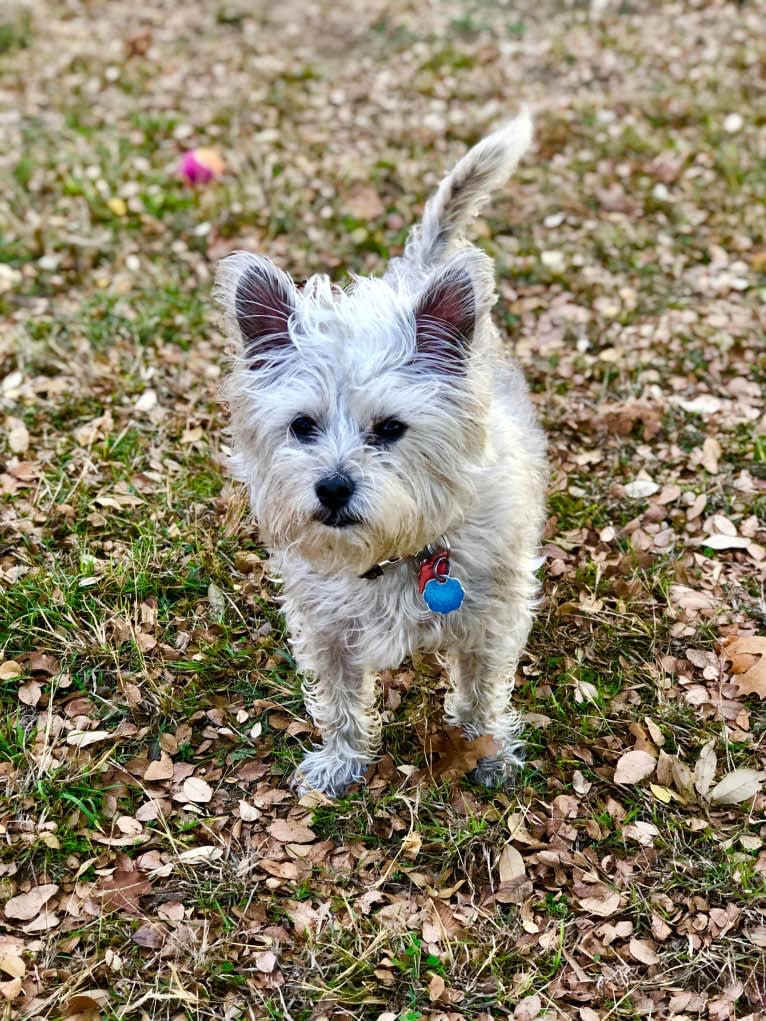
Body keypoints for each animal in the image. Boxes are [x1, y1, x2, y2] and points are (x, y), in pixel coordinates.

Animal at [217, 113, 551, 796]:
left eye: (392, 428)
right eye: (302, 426)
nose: (332, 488)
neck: (394, 556)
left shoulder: (490, 620)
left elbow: (482, 692)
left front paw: (488, 751)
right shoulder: (326, 628)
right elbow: (340, 700)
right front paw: (343, 760)